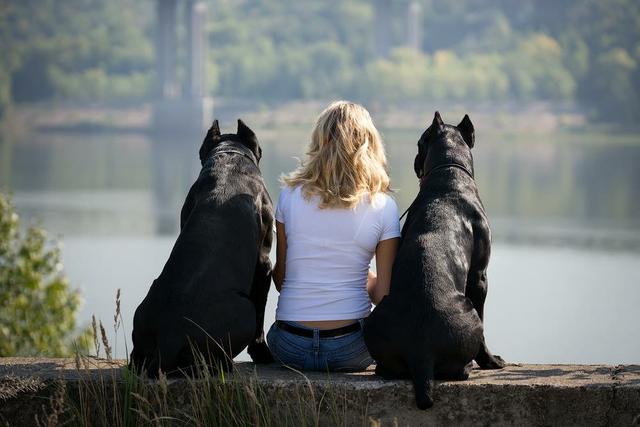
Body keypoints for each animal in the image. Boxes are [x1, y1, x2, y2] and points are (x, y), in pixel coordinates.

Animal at [131, 118, 274, 376]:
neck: (230, 157)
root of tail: (169, 338)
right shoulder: (264, 263)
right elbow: (261, 312)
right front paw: (262, 353)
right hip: (244, 310)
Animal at [364, 112, 504, 410]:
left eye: (418, 142)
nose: (415, 160)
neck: (449, 172)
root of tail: (421, 353)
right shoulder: (480, 276)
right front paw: (491, 361)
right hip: (469, 315)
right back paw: (469, 367)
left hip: (374, 322)